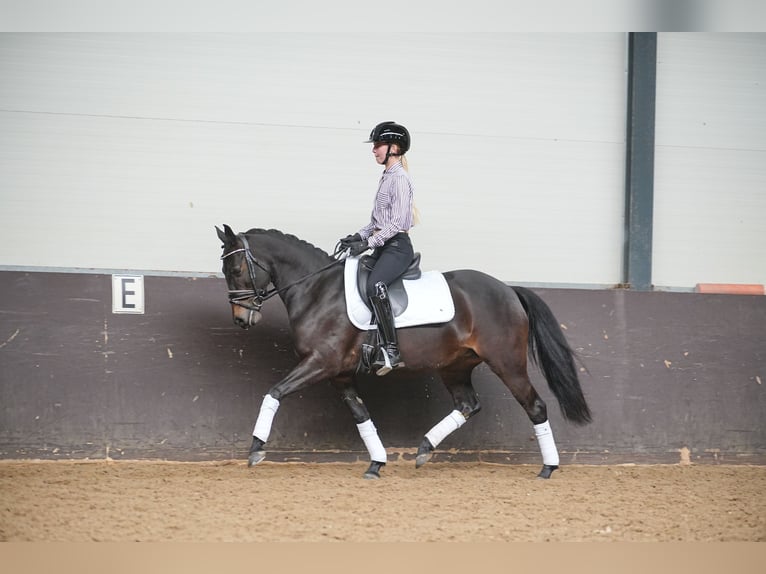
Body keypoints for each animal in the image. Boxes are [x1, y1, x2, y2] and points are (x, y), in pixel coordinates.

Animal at [216, 225, 592, 482]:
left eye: (234, 270)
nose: (241, 319)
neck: (317, 290)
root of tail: (508, 290)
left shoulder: (321, 362)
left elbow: (274, 392)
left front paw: (255, 449)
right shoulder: (339, 373)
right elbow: (361, 416)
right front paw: (376, 463)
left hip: (507, 363)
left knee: (535, 406)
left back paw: (548, 468)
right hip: (454, 367)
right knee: (468, 405)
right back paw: (424, 449)